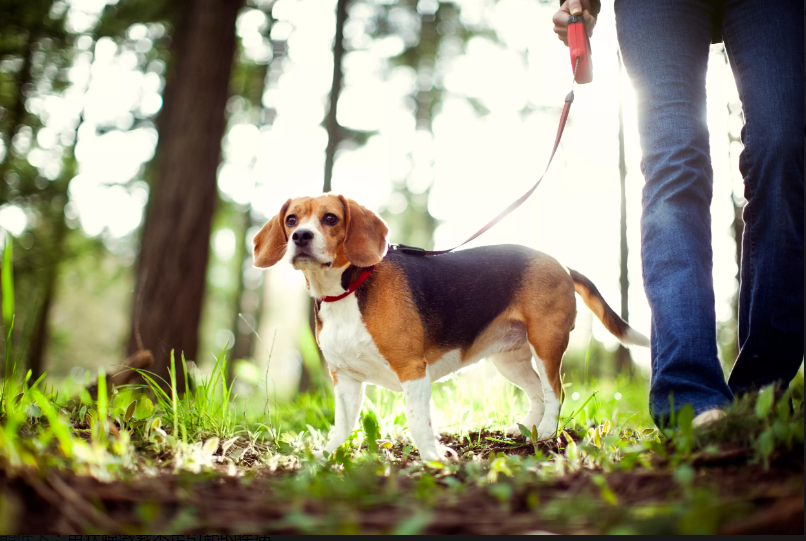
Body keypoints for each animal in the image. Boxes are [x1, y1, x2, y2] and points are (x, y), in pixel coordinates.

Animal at [254, 194, 652, 460]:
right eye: (292, 220)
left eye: (331, 218)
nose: (301, 237)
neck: (347, 289)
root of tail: (562, 265)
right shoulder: (346, 379)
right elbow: (342, 425)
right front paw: (329, 455)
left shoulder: (412, 371)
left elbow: (418, 422)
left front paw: (433, 459)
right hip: (509, 360)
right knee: (538, 393)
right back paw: (528, 429)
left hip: (546, 343)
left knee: (555, 392)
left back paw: (548, 433)